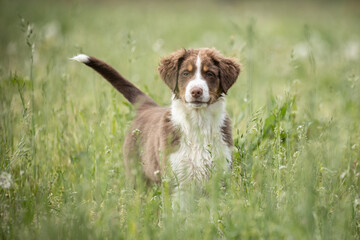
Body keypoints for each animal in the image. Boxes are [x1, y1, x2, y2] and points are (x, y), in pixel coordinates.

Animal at [70, 47, 240, 188]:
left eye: (209, 74)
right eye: (185, 73)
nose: (196, 91)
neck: (198, 122)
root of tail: (148, 107)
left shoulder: (221, 170)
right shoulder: (175, 176)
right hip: (136, 173)